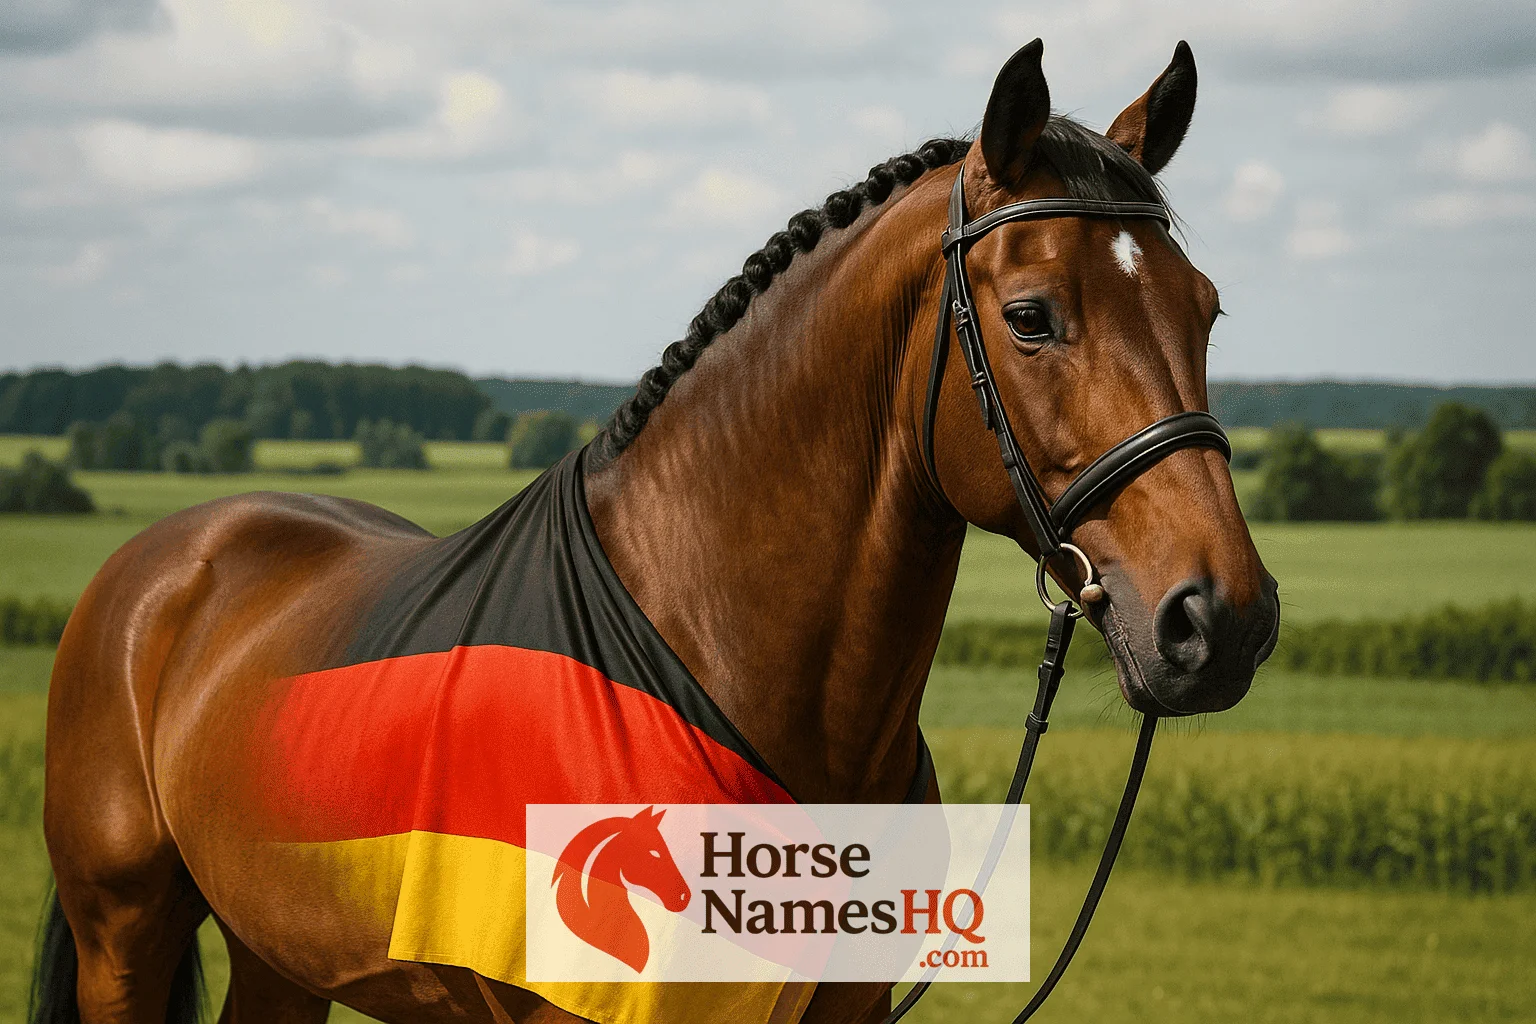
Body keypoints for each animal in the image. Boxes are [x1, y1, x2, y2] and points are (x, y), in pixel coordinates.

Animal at [33, 37, 1279, 1024]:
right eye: (1031, 316)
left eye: (1207, 309)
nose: (1221, 619)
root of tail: (161, 565)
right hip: (123, 934)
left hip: (279, 954)